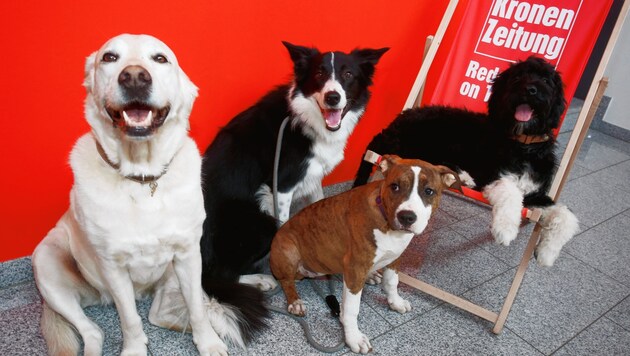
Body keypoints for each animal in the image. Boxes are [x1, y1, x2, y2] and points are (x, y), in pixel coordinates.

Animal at [32, 34, 230, 356]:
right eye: (110, 57)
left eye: (160, 58)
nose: (135, 77)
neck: (141, 177)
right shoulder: (113, 267)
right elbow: (129, 319)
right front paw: (135, 348)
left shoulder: (189, 254)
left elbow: (197, 310)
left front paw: (209, 342)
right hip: (46, 262)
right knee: (94, 330)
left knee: (160, 313)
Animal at [270, 155, 462, 354]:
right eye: (395, 186)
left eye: (429, 191)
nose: (407, 217)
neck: (388, 224)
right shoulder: (355, 268)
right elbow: (351, 309)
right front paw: (354, 338)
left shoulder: (395, 258)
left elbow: (392, 282)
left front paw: (395, 302)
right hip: (289, 251)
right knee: (286, 281)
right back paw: (295, 302)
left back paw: (371, 275)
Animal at [354, 55, 580, 266]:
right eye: (517, 77)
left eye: (546, 79)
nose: (530, 90)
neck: (524, 145)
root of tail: (390, 127)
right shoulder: (491, 176)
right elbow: (511, 193)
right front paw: (505, 229)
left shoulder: (537, 195)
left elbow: (566, 215)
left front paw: (547, 253)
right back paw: (463, 177)